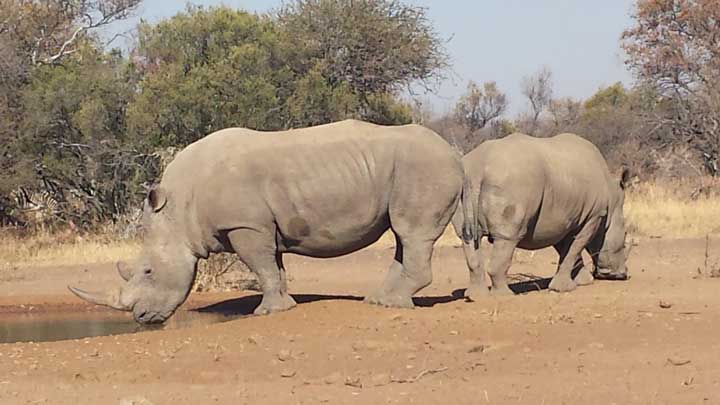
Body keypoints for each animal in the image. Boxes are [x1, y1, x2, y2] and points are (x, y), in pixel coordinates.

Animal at [67, 118, 462, 324]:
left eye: (148, 271)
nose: (142, 318)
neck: (179, 210)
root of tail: (454, 153)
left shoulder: (245, 225)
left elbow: (260, 266)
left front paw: (265, 312)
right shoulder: (262, 225)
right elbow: (275, 267)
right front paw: (283, 306)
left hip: (424, 168)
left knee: (412, 233)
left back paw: (393, 305)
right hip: (411, 170)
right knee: (403, 237)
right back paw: (379, 301)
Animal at [456, 131, 632, 298]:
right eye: (624, 237)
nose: (622, 274)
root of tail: (479, 168)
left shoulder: (563, 219)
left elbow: (567, 250)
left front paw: (583, 281)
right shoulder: (593, 216)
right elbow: (576, 247)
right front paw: (565, 288)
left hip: (466, 181)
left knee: (468, 239)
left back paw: (476, 296)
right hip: (513, 181)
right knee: (507, 237)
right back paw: (504, 295)